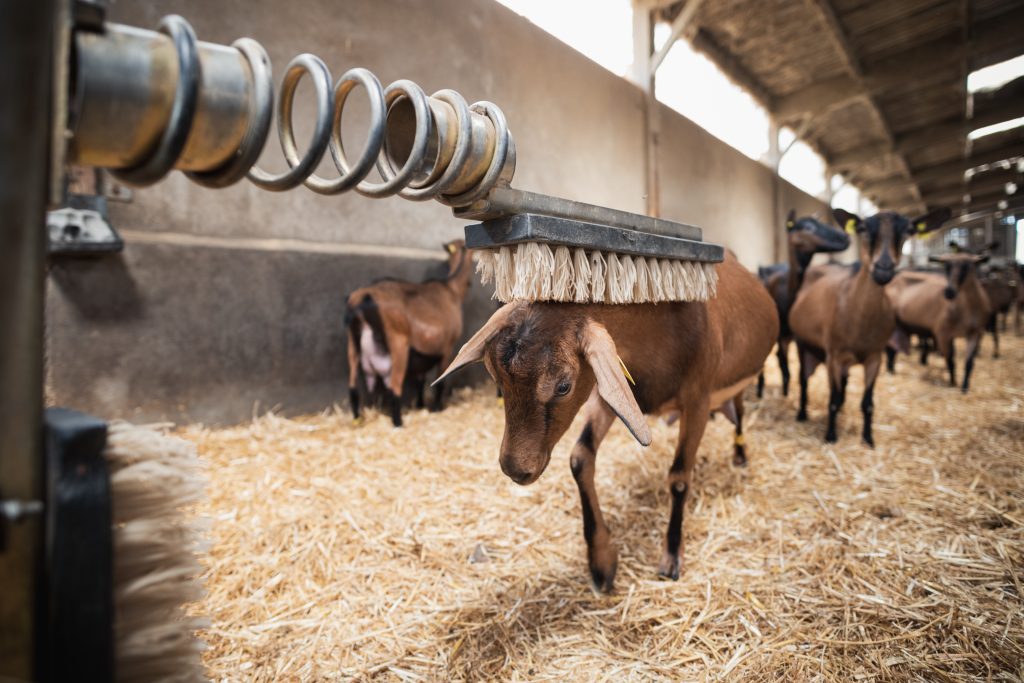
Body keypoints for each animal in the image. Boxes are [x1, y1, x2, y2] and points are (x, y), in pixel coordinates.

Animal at [344, 237, 471, 423]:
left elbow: (420, 381)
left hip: (353, 343)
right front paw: (436, 408)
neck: (451, 288)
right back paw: (398, 423)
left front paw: (420, 405)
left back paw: (356, 419)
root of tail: (363, 298)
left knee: (353, 387)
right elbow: (440, 381)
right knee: (394, 387)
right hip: (398, 342)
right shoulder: (448, 347)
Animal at [432, 250, 774, 593]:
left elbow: (679, 477)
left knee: (739, 414)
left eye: (563, 386)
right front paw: (601, 563)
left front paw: (671, 557)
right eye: (494, 375)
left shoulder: (698, 400)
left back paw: (740, 455)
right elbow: (580, 458)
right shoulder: (608, 392)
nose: (515, 468)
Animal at [786, 205, 946, 446]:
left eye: (908, 231)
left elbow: (867, 403)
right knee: (804, 381)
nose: (883, 268)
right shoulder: (834, 355)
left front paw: (868, 438)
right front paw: (831, 435)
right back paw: (803, 413)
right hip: (802, 344)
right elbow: (832, 400)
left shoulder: (874, 357)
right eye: (862, 229)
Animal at [888, 252, 991, 393]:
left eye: (966, 267)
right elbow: (950, 360)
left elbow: (969, 363)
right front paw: (952, 383)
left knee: (893, 347)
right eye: (946, 267)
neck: (967, 308)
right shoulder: (943, 333)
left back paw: (891, 369)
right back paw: (890, 370)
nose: (949, 292)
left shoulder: (975, 333)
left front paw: (964, 387)